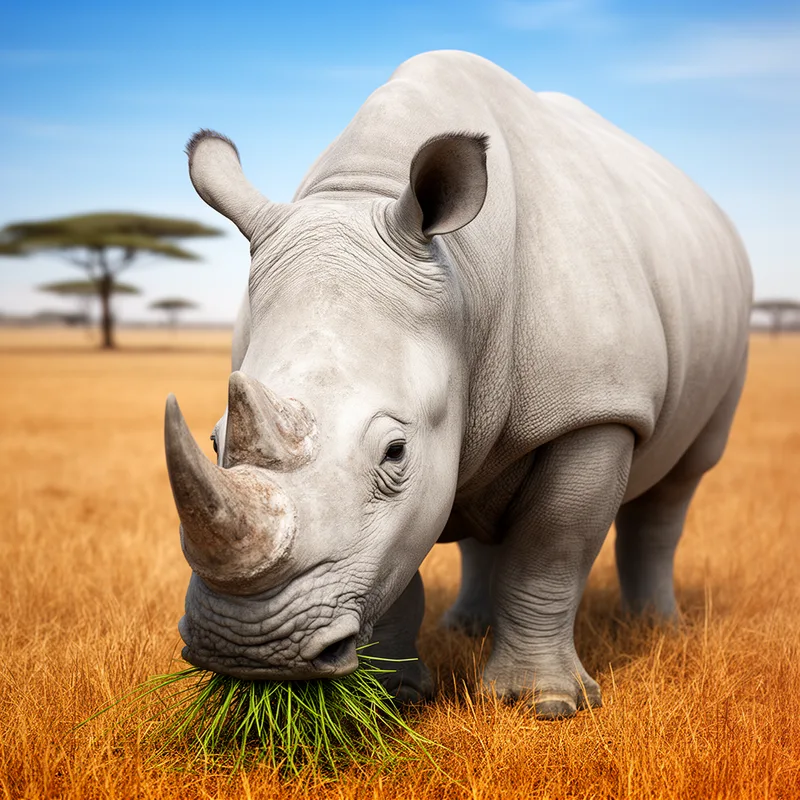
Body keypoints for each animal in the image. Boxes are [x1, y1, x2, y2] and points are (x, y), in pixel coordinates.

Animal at [165, 50, 752, 718]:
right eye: (215, 442)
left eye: (396, 452)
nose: (246, 648)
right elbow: (401, 563)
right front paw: (394, 697)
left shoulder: (598, 409)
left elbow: (551, 547)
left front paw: (545, 705)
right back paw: (467, 628)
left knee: (678, 485)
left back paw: (656, 630)